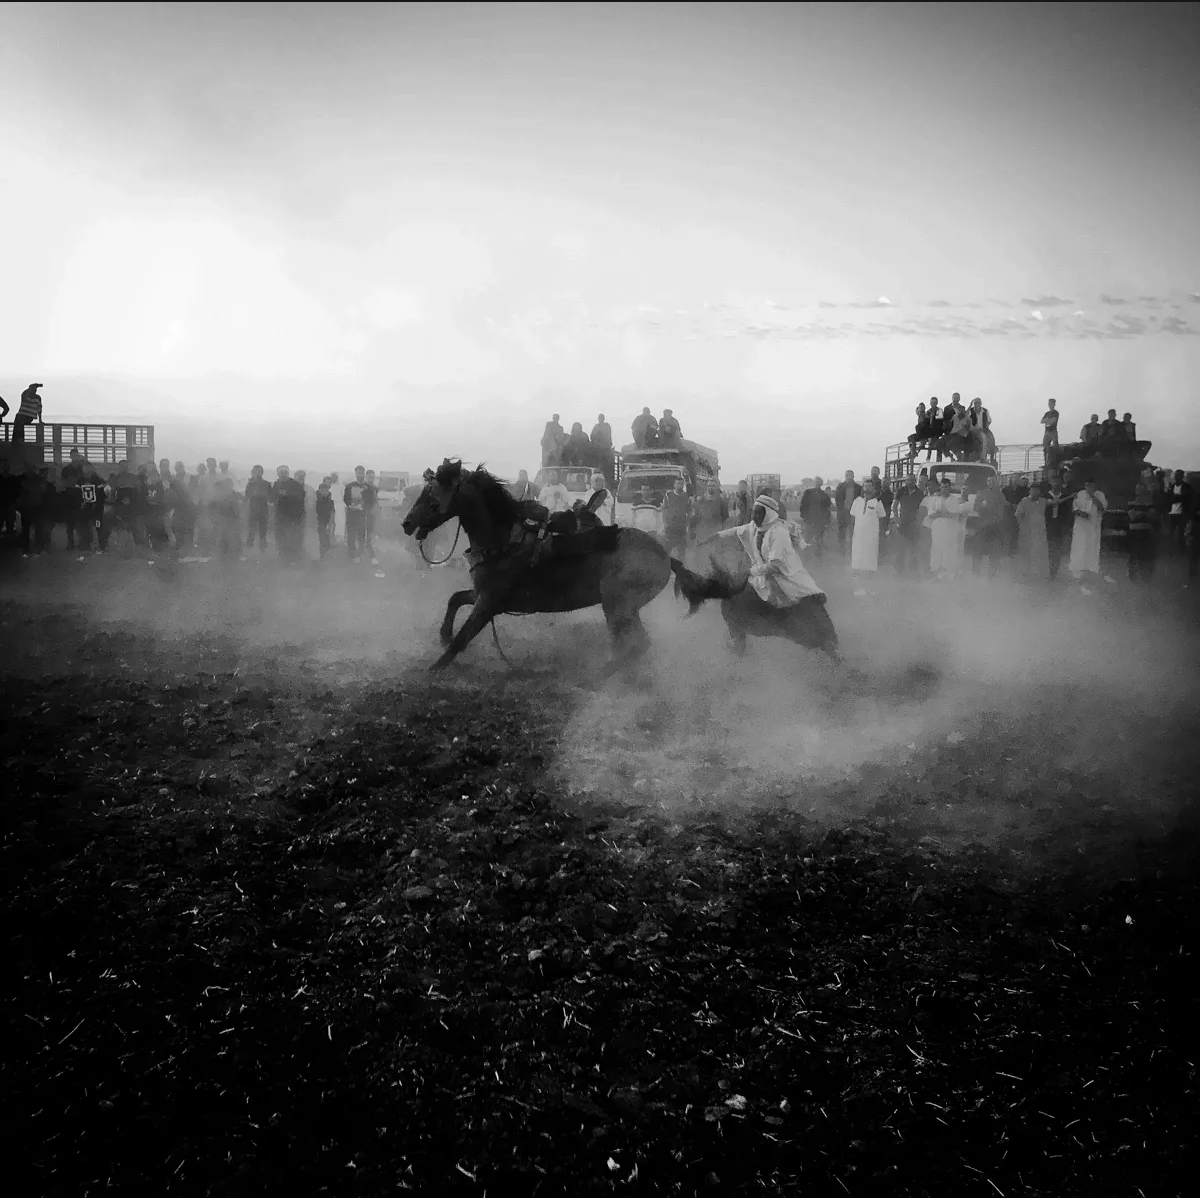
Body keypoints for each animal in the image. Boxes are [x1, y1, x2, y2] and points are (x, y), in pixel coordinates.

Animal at [401, 459, 672, 672]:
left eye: (432, 494)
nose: (406, 523)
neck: (503, 541)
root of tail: (667, 557)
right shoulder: (483, 595)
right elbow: (455, 599)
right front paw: (444, 635)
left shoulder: (488, 603)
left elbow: (462, 638)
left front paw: (432, 670)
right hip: (622, 608)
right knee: (630, 645)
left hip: (618, 605)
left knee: (636, 644)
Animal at [668, 533, 842, 662]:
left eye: (690, 584)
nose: (675, 564)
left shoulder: (736, 628)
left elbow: (738, 648)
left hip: (807, 637)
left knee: (830, 649)